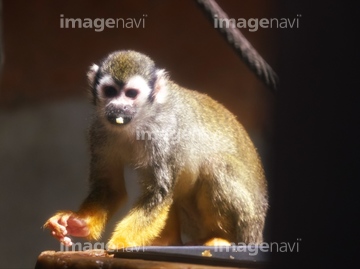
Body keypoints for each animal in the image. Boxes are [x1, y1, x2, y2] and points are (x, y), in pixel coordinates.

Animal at [44, 49, 268, 247]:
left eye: (131, 94)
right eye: (110, 92)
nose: (118, 106)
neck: (139, 121)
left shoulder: (163, 134)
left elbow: (159, 193)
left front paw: (120, 242)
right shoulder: (99, 131)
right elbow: (110, 188)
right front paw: (77, 223)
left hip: (248, 221)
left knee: (217, 165)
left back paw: (222, 238)